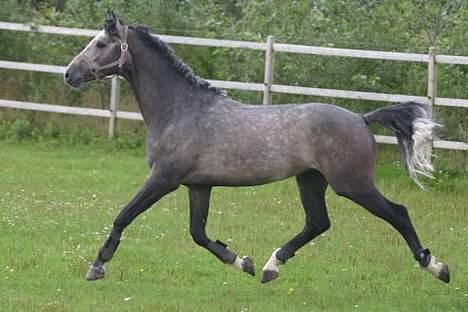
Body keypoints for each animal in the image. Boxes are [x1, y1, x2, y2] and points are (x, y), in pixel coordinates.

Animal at [65, 11, 450, 286]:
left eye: (101, 43)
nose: (69, 74)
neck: (180, 109)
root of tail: (361, 118)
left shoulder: (164, 179)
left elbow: (124, 216)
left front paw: (97, 266)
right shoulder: (198, 186)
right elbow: (198, 234)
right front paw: (243, 262)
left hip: (352, 184)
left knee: (398, 213)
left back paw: (437, 267)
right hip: (311, 180)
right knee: (318, 223)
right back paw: (270, 267)